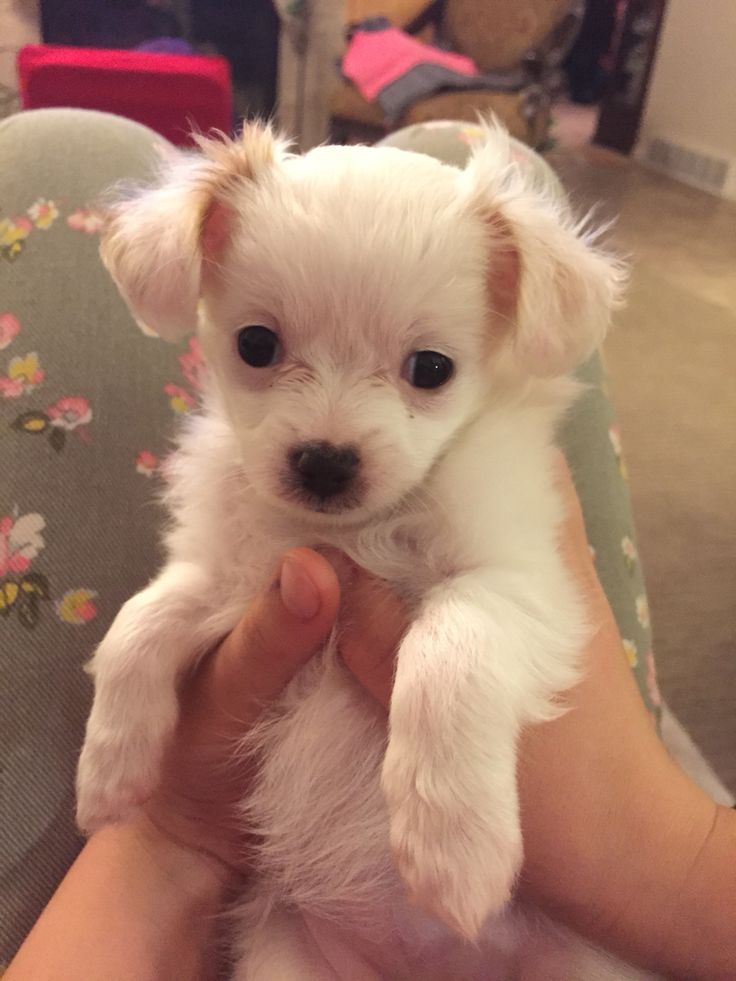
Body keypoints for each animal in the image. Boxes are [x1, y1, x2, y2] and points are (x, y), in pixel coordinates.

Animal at [75, 124, 652, 980]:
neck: (351, 534)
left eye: (432, 369)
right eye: (255, 344)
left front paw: (453, 842)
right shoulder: (231, 573)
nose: (323, 461)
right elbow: (140, 621)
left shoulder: (517, 582)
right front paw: (111, 768)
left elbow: (449, 647)